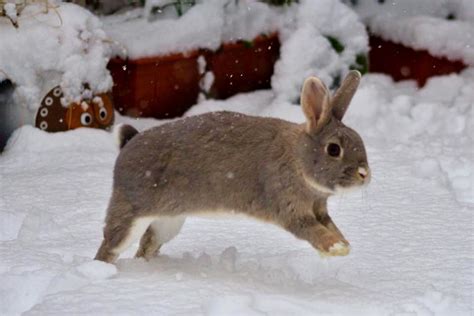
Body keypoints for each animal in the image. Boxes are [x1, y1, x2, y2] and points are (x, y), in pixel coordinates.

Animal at [95, 69, 370, 264]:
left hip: (168, 222)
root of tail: (126, 148)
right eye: (333, 149)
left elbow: (330, 225)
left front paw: (344, 245)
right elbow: (312, 231)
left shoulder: (319, 209)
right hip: (131, 213)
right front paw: (336, 248)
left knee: (147, 244)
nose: (365, 174)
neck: (298, 160)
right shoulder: (289, 207)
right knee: (111, 246)